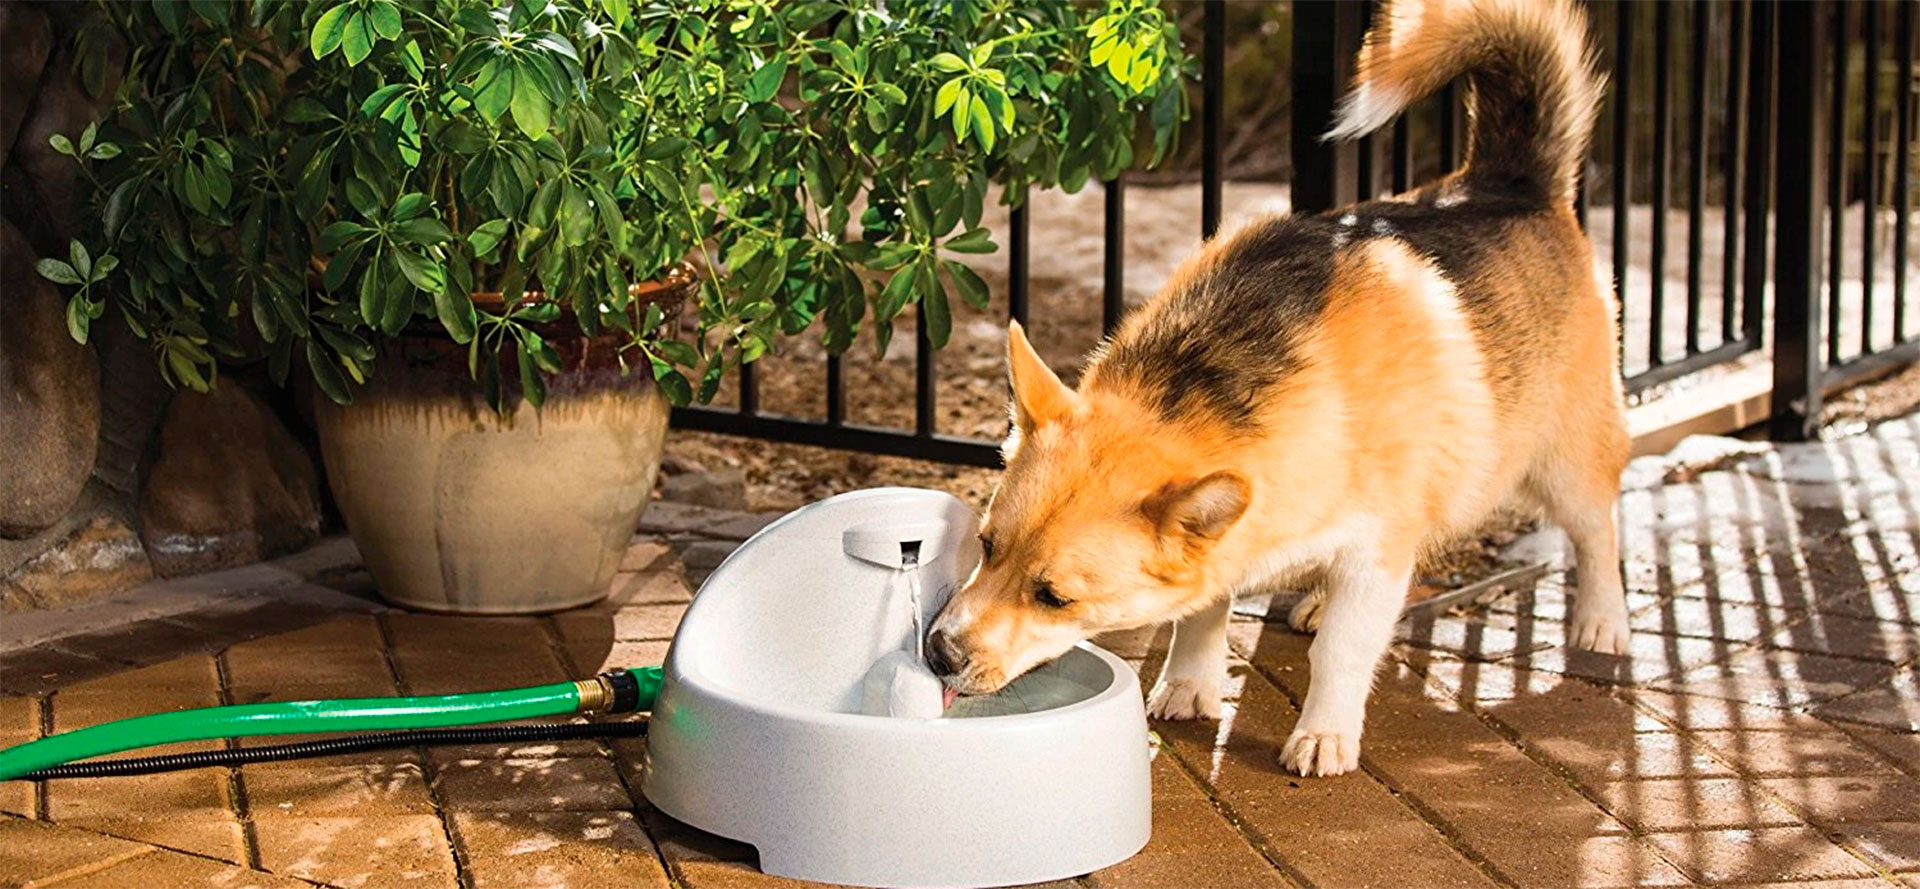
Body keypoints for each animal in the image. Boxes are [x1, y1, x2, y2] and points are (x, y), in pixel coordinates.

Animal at [925, 0, 1620, 779]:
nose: (937, 652)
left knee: (1600, 533)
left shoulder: (1376, 547)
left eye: (1054, 597)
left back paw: (1603, 622)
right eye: (987, 546)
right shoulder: (1232, 536)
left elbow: (1343, 652)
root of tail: (1508, 182)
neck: (1218, 377)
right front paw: (1190, 684)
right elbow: (1203, 614)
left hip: (1565, 465)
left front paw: (1324, 732)